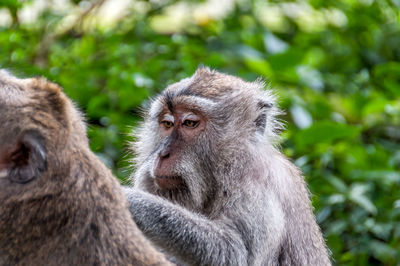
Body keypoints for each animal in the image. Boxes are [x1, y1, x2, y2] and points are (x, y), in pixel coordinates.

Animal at [125, 67, 332, 264]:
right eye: (167, 124)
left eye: (189, 123)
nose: (162, 154)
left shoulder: (256, 182)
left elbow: (236, 252)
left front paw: (133, 201)